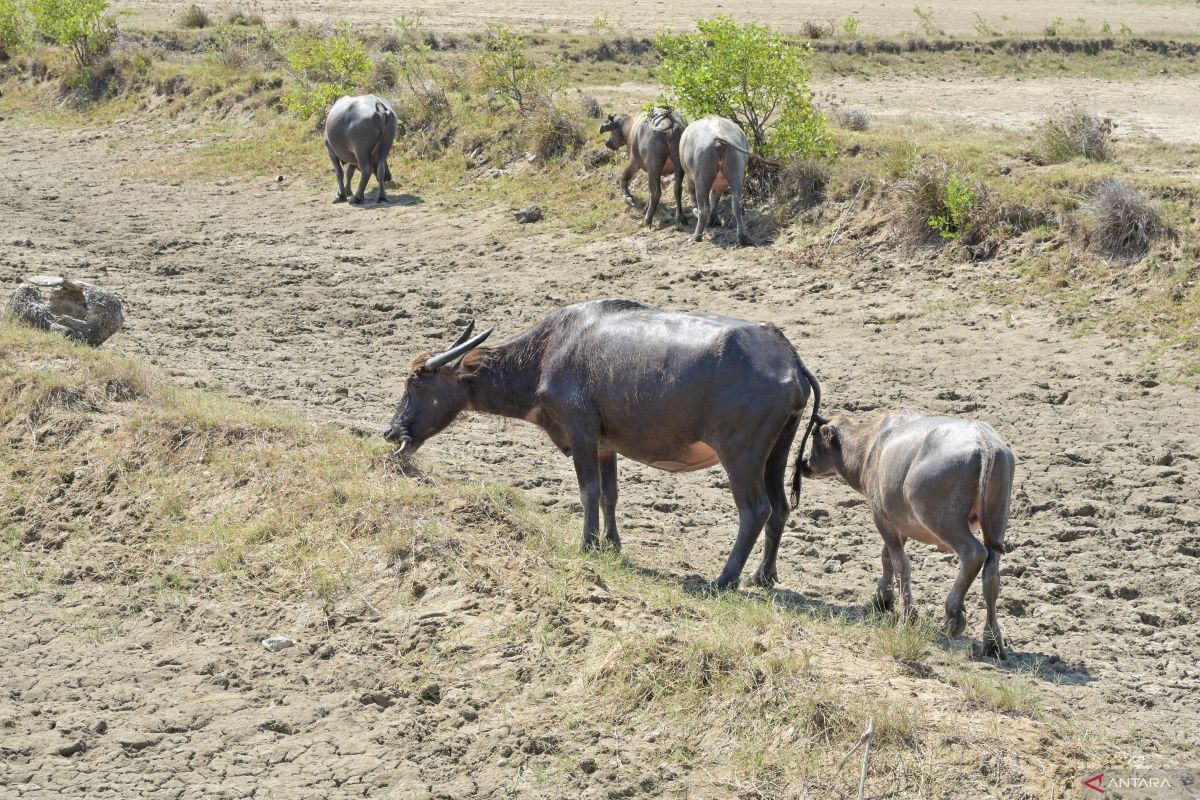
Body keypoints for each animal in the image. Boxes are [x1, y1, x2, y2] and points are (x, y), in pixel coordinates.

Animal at [384, 297, 825, 592]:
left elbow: (589, 491)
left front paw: (587, 543)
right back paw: (762, 576)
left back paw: (725, 578)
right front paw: (611, 545)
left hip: (741, 456)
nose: (392, 433)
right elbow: (611, 494)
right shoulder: (605, 445)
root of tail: (789, 359)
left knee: (755, 510)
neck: (550, 352)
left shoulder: (580, 434)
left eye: (416, 383)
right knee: (780, 507)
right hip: (776, 452)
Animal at [801, 410, 1017, 662]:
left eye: (814, 436)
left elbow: (900, 564)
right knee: (991, 576)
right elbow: (887, 557)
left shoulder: (881, 517)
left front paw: (908, 614)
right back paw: (992, 642)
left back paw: (953, 615)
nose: (803, 463)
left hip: (942, 520)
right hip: (997, 518)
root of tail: (984, 440)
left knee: (974, 554)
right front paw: (882, 599)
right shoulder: (899, 525)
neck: (871, 448)